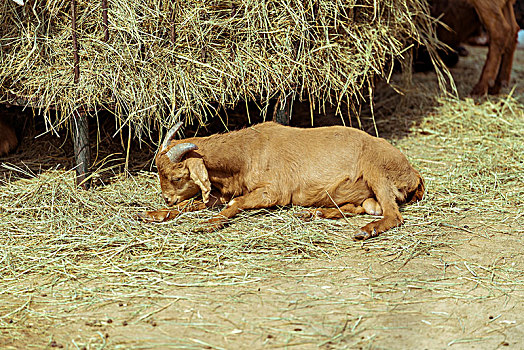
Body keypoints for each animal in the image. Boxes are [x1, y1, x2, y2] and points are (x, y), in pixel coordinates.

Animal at [140, 121, 426, 239]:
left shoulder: (274, 192)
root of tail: (413, 173)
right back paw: (314, 213)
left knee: (393, 214)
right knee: (362, 208)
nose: (167, 197)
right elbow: (194, 204)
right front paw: (153, 214)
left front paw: (210, 223)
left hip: (376, 170)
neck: (248, 152)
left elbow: (235, 204)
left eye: (177, 176)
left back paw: (366, 231)